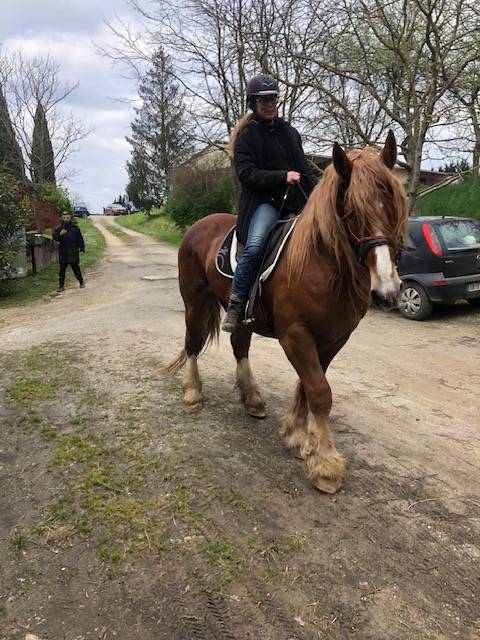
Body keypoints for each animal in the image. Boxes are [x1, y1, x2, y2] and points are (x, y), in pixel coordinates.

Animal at [165, 131, 408, 494]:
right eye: (352, 212)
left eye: (393, 207)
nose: (386, 289)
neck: (321, 263)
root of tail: (200, 224)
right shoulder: (295, 335)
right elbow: (319, 391)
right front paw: (325, 465)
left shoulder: (332, 338)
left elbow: (309, 385)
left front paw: (298, 437)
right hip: (194, 302)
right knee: (193, 343)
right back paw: (193, 394)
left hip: (242, 318)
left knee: (239, 347)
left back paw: (252, 398)